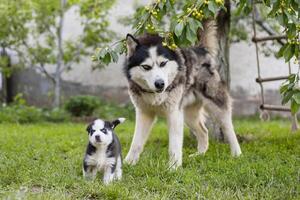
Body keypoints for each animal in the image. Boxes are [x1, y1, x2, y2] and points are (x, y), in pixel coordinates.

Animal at [123, 20, 243, 169]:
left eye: (163, 63)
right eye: (146, 67)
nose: (160, 84)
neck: (155, 96)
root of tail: (200, 48)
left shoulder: (174, 114)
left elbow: (174, 145)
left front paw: (173, 168)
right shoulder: (144, 113)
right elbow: (136, 143)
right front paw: (128, 163)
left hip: (216, 106)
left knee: (229, 128)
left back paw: (237, 154)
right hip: (188, 115)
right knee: (204, 131)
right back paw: (199, 155)